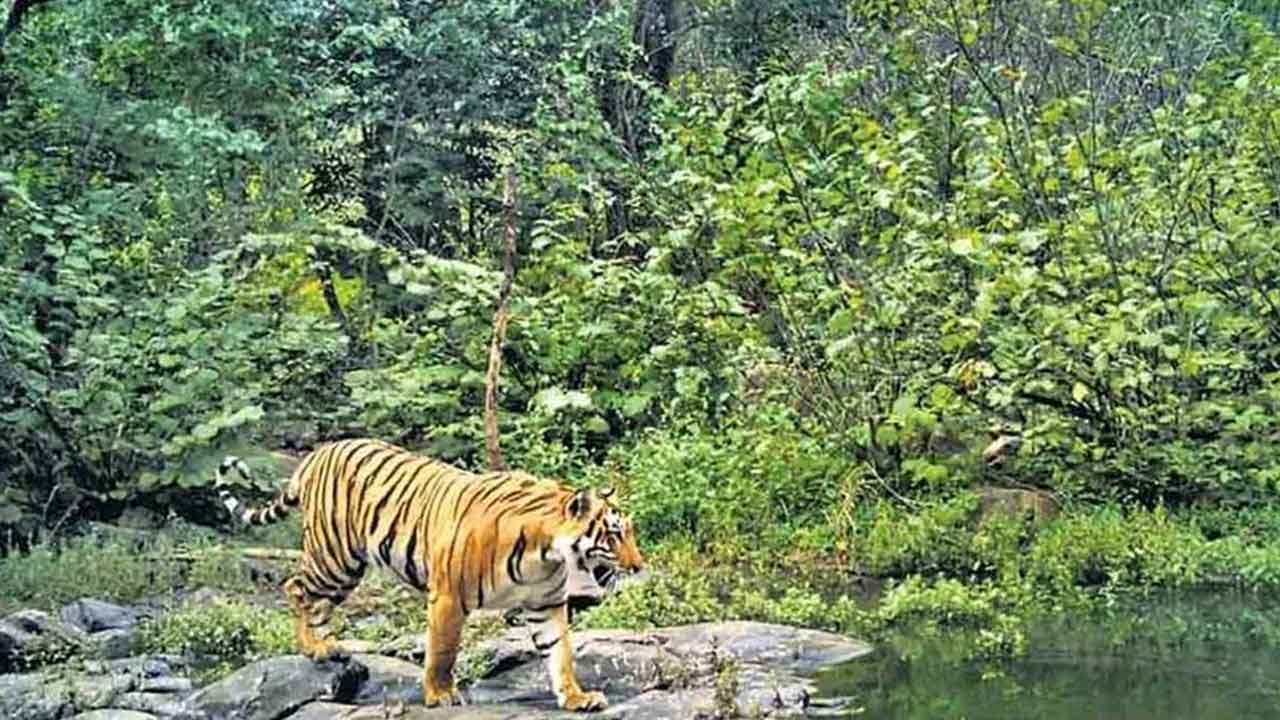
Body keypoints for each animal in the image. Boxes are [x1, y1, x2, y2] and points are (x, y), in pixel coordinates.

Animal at [214, 438, 644, 711]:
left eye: (630, 531)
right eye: (614, 534)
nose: (639, 566)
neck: (547, 554)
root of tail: (316, 454)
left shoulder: (547, 604)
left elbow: (560, 655)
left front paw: (576, 698)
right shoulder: (450, 597)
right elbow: (442, 651)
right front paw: (440, 695)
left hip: (346, 568)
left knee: (317, 602)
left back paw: (327, 646)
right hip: (333, 556)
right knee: (295, 587)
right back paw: (311, 647)